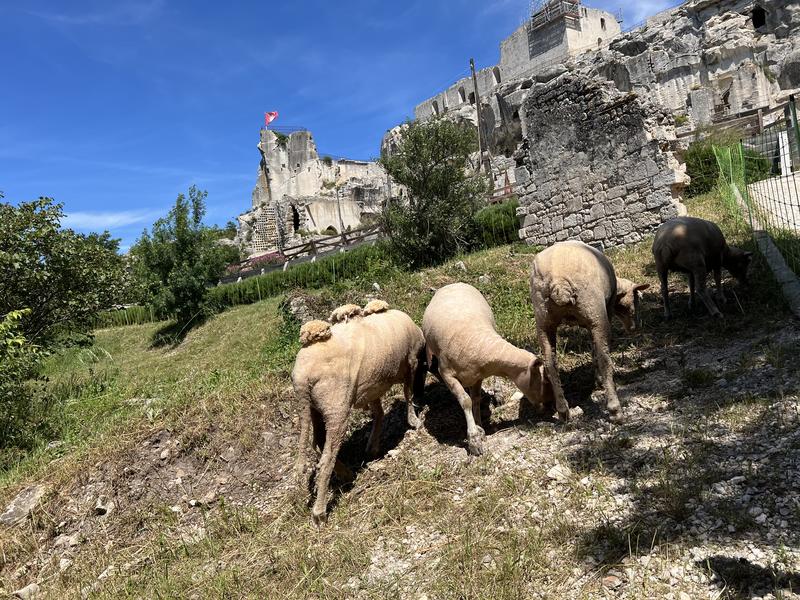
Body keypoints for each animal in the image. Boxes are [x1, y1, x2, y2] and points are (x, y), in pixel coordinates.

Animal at [292, 301, 426, 526]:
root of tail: (303, 376)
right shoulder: (410, 362)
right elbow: (408, 395)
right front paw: (414, 421)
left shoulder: (373, 383)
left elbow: (379, 412)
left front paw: (373, 447)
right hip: (336, 407)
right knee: (327, 457)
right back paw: (320, 512)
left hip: (314, 408)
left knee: (318, 442)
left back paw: (347, 474)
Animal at [422, 283, 553, 456]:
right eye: (544, 381)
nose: (550, 405)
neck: (479, 343)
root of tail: (455, 283)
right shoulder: (448, 375)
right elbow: (466, 401)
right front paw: (474, 439)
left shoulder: (477, 377)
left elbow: (476, 399)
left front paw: (479, 428)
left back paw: (498, 393)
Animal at [530, 241, 649, 422]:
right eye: (638, 298)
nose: (633, 328)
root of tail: (558, 282)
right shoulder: (604, 312)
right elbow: (595, 350)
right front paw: (599, 380)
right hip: (594, 311)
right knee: (604, 358)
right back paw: (615, 410)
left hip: (543, 320)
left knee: (550, 364)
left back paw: (563, 411)